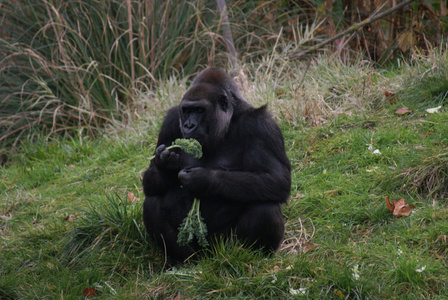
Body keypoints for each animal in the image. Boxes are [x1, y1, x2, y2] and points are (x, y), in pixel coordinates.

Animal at [142, 67, 292, 262]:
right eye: (187, 110)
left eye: (199, 110)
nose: (188, 125)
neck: (230, 119)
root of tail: (209, 256)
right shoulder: (170, 121)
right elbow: (150, 186)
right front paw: (164, 165)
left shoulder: (262, 126)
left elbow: (277, 179)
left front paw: (204, 179)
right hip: (199, 253)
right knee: (152, 203)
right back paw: (183, 261)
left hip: (224, 245)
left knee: (265, 205)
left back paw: (253, 257)